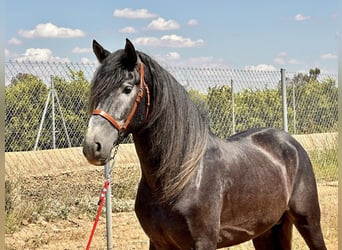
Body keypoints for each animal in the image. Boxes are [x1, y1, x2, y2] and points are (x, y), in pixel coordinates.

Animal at [82, 39, 326, 250]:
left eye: (127, 88)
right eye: (96, 90)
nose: (92, 146)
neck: (179, 176)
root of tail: (290, 142)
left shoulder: (203, 242)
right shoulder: (158, 243)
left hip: (308, 222)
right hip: (266, 231)